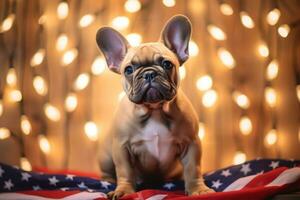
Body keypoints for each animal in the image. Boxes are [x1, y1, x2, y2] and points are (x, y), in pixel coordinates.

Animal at [96, 14, 213, 199]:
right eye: (128, 70)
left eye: (167, 64)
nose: (149, 73)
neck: (155, 110)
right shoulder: (122, 148)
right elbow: (125, 171)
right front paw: (123, 191)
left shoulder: (191, 143)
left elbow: (193, 169)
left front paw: (198, 189)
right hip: (106, 157)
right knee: (108, 172)